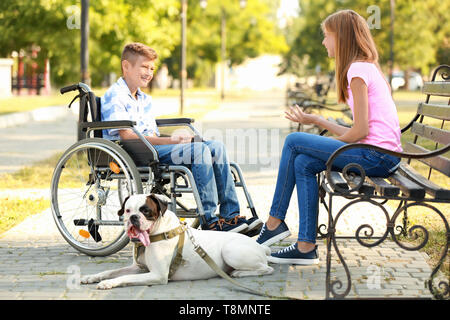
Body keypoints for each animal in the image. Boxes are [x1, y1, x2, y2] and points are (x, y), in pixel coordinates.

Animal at [80, 194, 274, 288]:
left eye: (146, 211)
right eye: (127, 210)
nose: (133, 217)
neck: (157, 232)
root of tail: (260, 247)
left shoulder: (157, 275)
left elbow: (124, 277)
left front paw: (108, 284)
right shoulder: (139, 268)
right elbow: (111, 271)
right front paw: (92, 277)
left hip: (230, 251)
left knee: (267, 269)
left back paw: (239, 273)